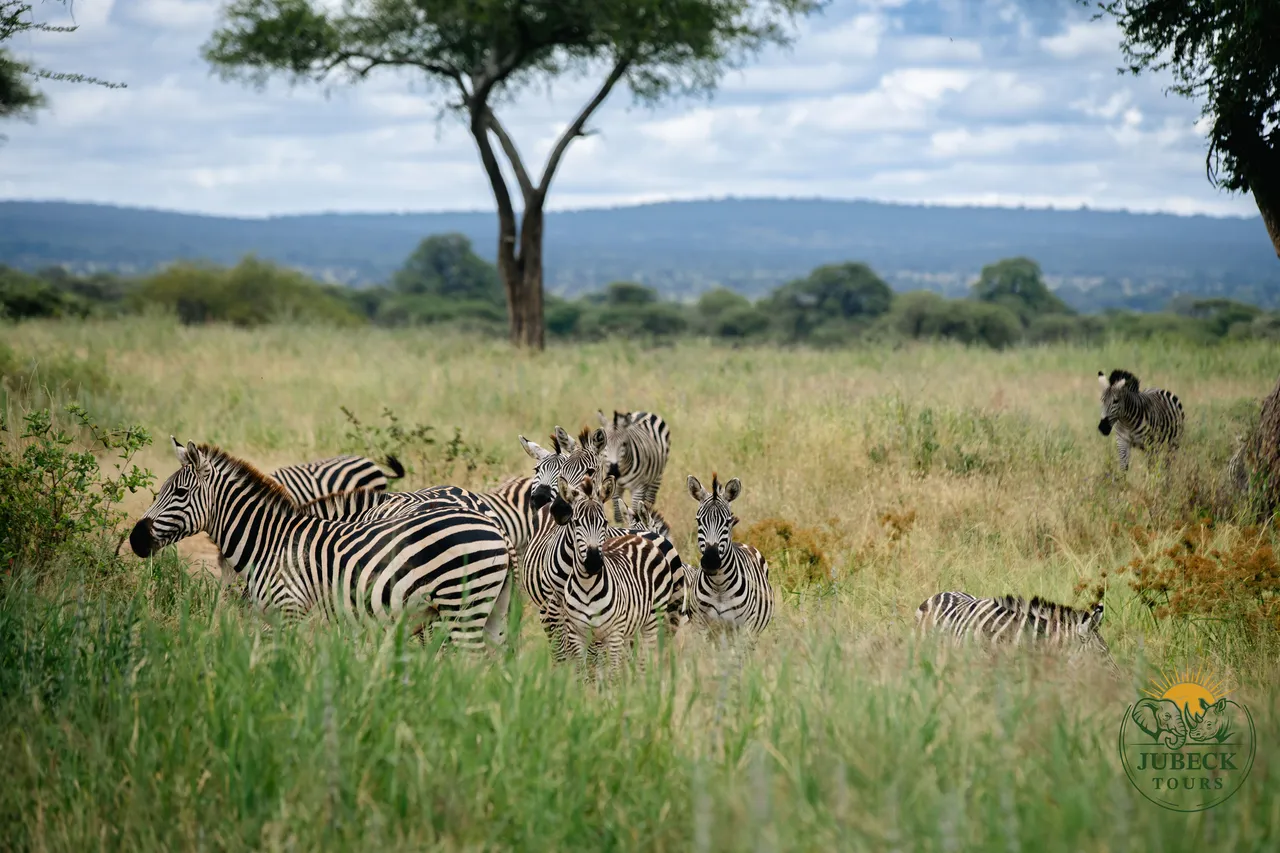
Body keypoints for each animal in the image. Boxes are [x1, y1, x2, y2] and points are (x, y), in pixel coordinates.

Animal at [686, 473, 773, 638]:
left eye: (727, 522)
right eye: (698, 520)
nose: (710, 561)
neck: (719, 585)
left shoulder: (744, 627)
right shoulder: (700, 625)